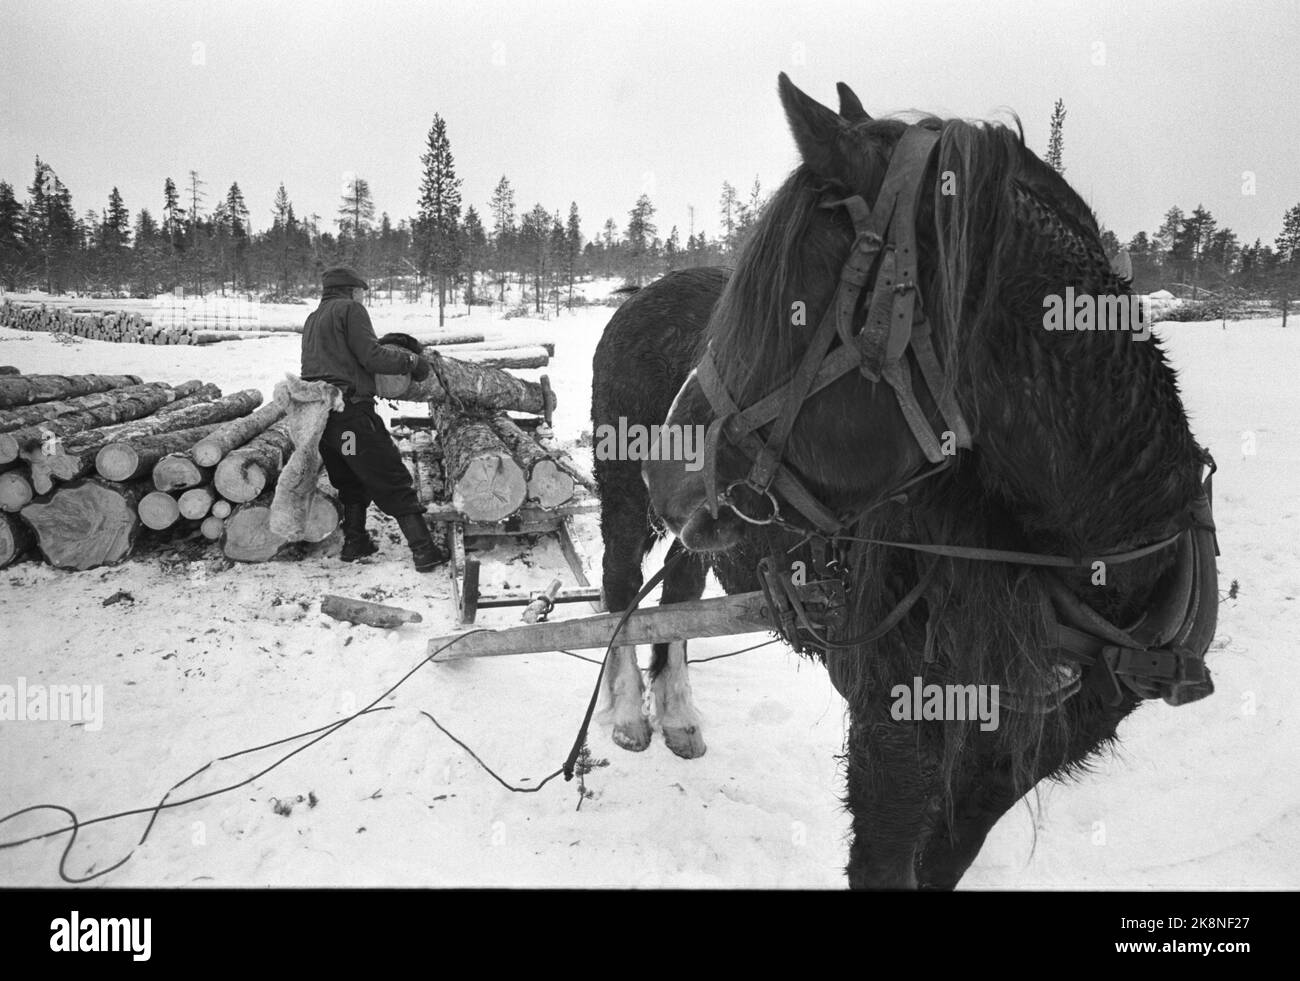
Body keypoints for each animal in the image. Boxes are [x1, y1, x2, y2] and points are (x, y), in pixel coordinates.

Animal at [590, 76, 1216, 888]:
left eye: (789, 306)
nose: (665, 465)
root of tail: (637, 296)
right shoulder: (893, 745)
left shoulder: (1008, 767)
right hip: (623, 497)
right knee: (618, 584)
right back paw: (633, 713)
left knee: (677, 586)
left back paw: (678, 715)